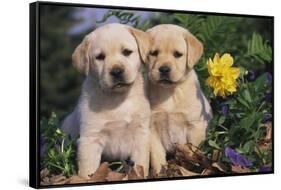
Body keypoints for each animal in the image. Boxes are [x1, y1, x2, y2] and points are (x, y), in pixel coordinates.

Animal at [61, 23, 151, 178]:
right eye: (100, 57)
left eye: (126, 52)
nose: (116, 71)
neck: (117, 98)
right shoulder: (90, 139)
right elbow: (88, 170)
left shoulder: (141, 134)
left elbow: (141, 164)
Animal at [145, 24, 211, 173]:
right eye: (154, 53)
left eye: (177, 54)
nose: (164, 69)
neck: (170, 91)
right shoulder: (152, 128)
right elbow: (157, 154)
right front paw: (160, 172)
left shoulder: (195, 126)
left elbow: (192, 151)